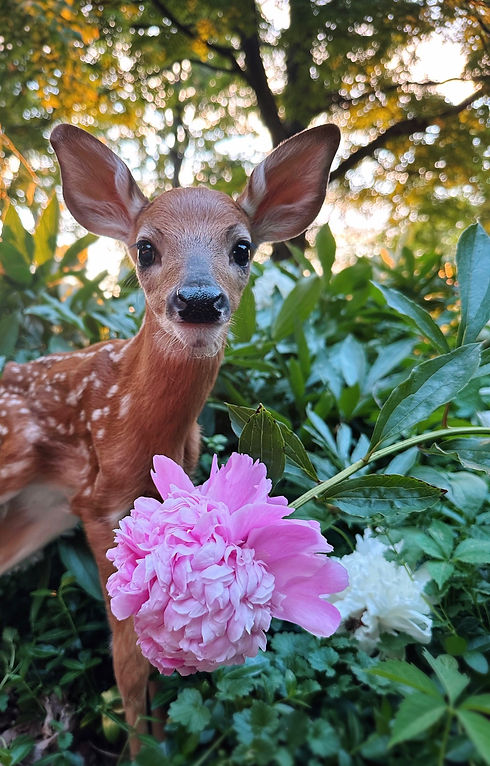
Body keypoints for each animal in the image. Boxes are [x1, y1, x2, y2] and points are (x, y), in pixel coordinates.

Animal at [0, 122, 340, 753]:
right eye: (145, 248)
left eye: (242, 247)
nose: (199, 301)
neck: (134, 421)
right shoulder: (99, 504)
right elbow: (128, 662)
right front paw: (141, 749)